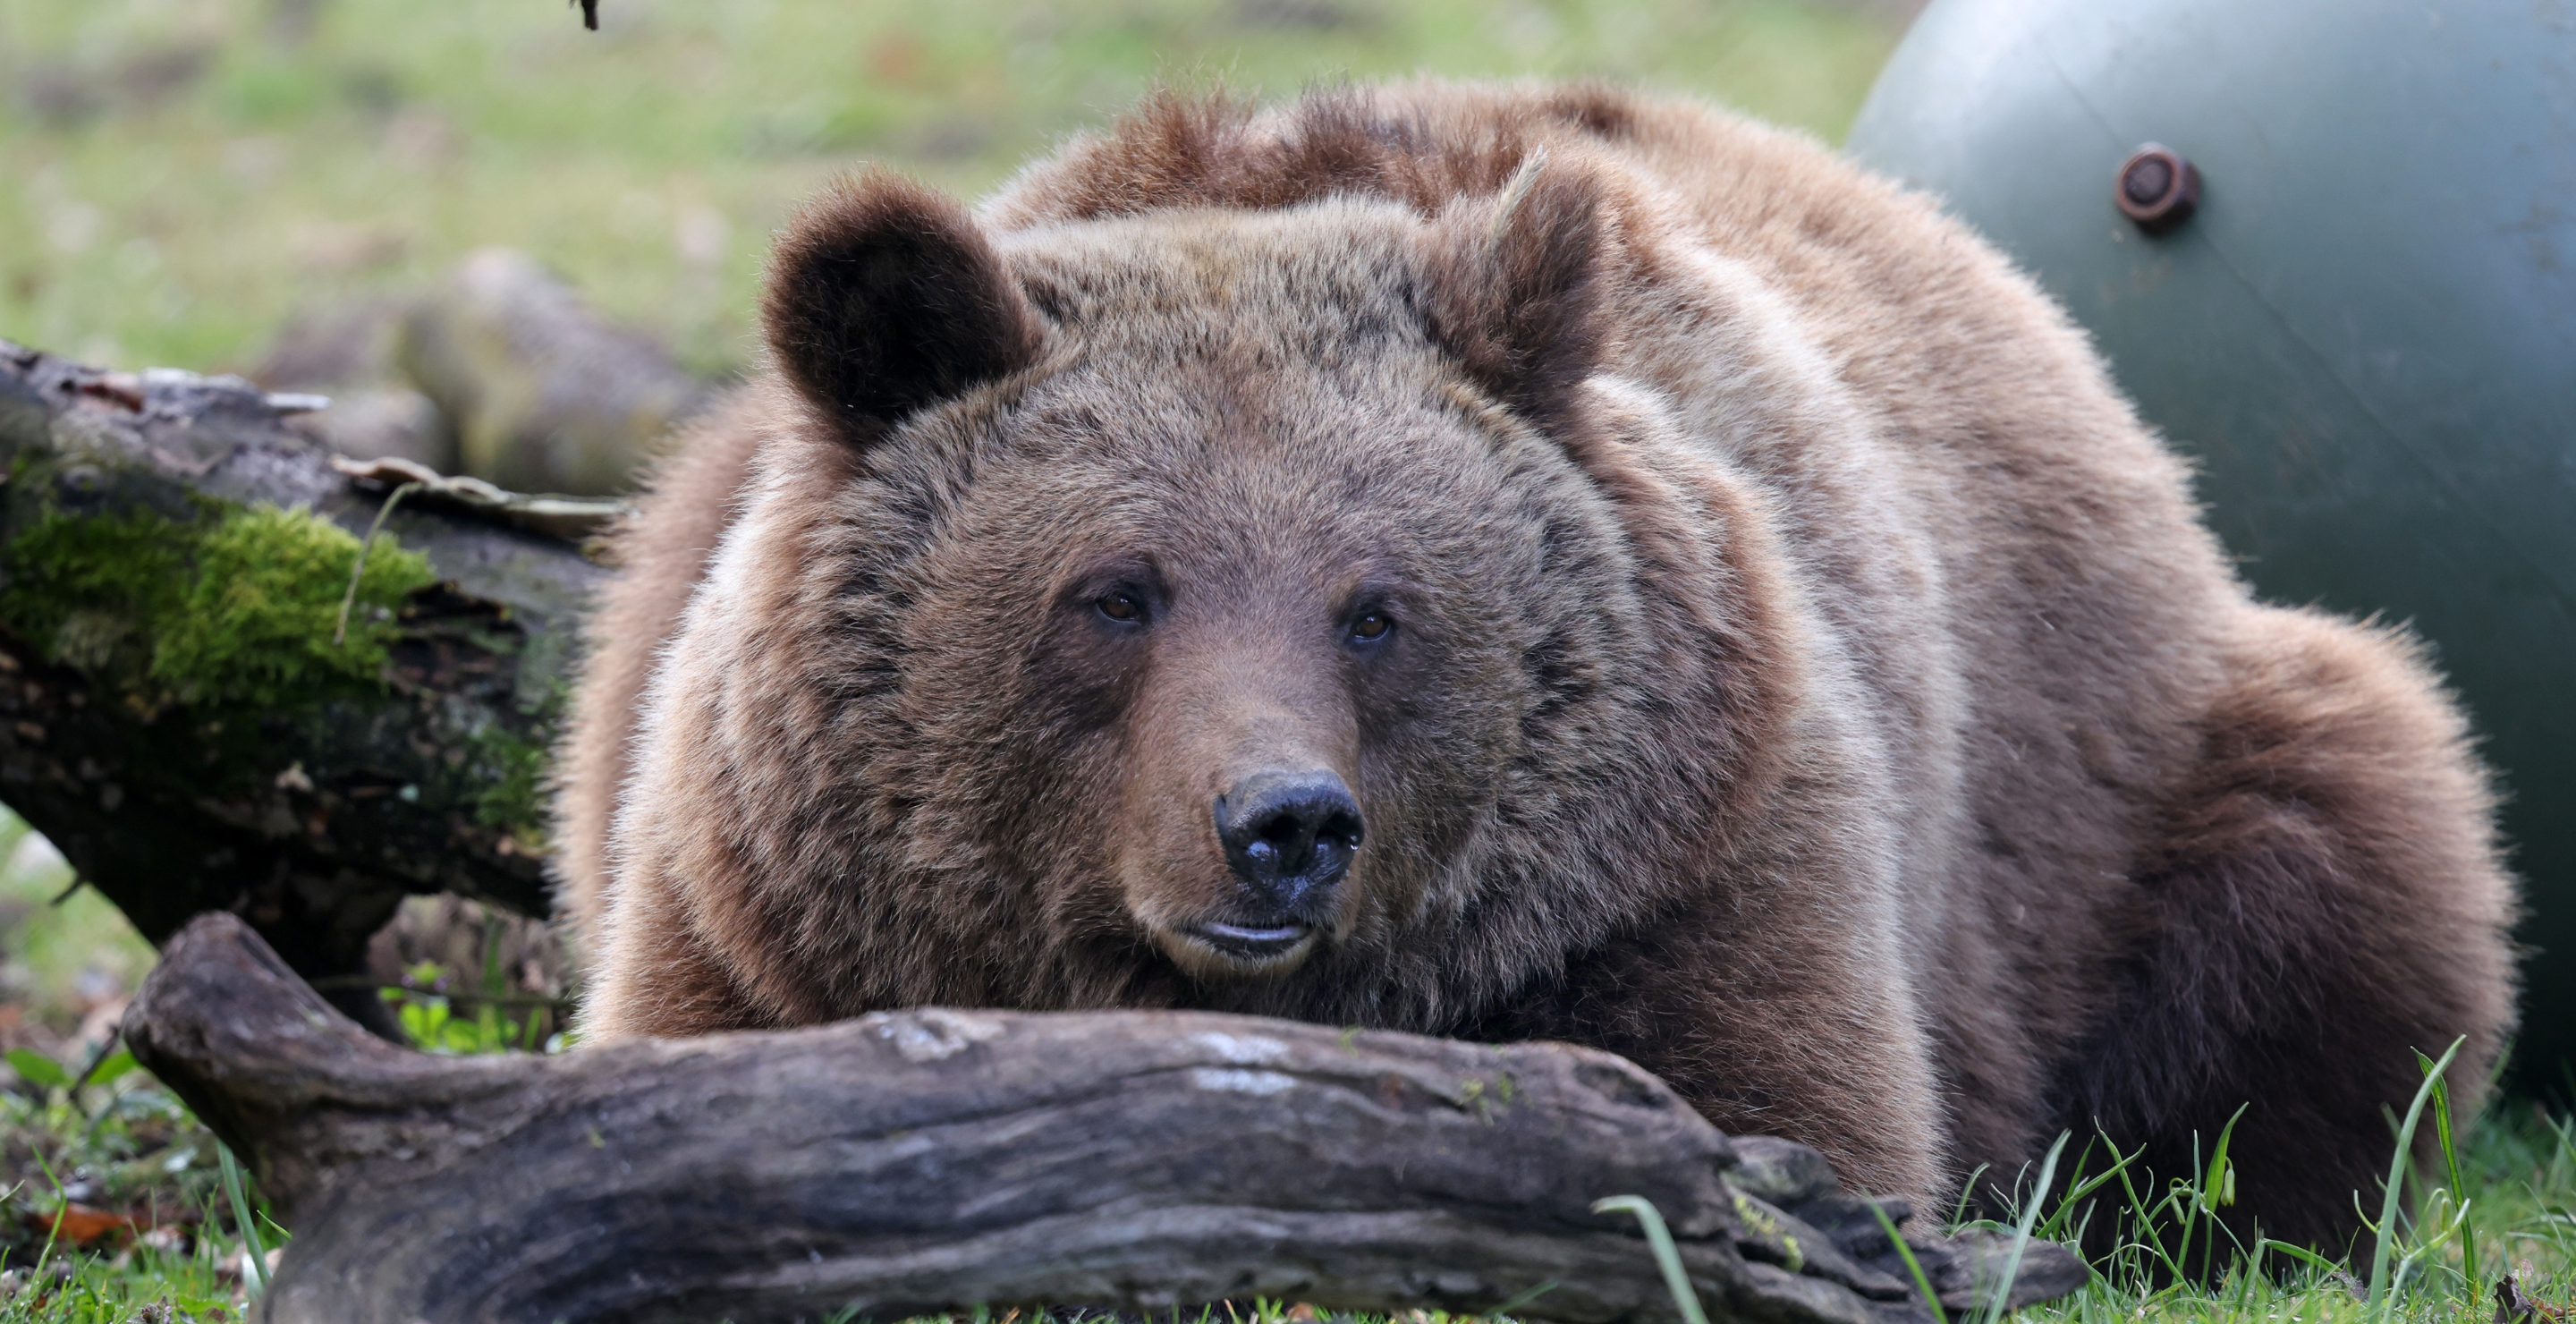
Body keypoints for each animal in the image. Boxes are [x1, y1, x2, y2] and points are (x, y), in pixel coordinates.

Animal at [554, 81, 2518, 1253]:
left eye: (1375, 603)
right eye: (1115, 591)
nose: (1282, 827)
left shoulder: (1684, 854)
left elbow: (1769, 1129)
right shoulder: (776, 902)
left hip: (2133, 782)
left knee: (2332, 877)